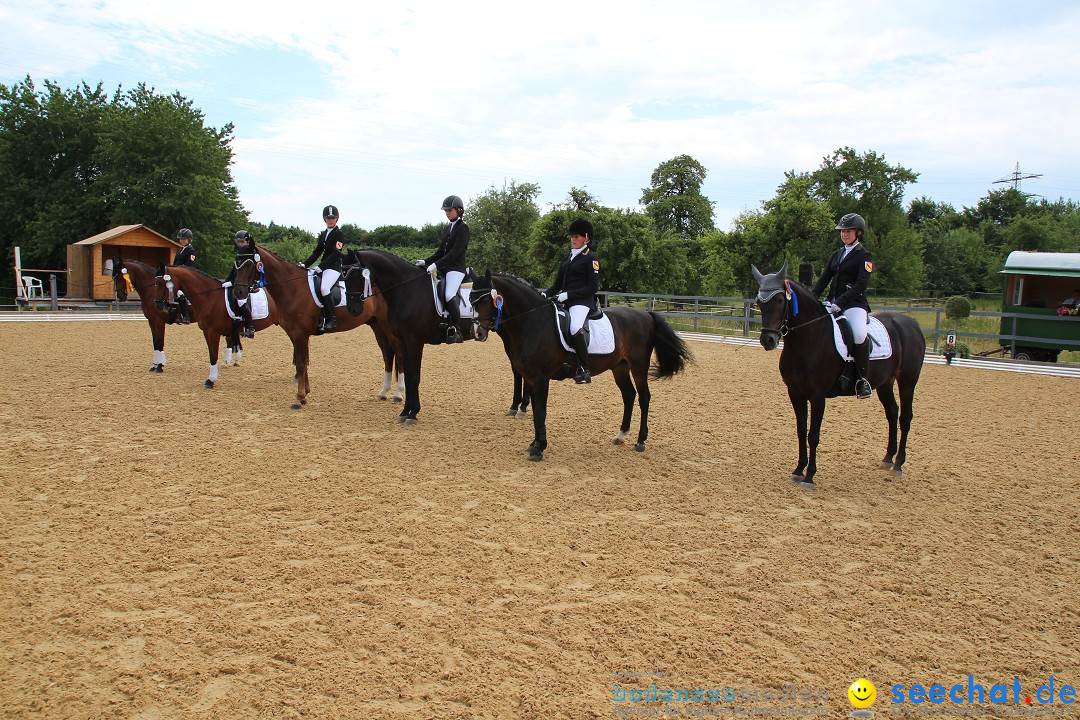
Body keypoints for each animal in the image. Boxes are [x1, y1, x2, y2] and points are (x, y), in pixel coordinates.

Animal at [236, 245, 401, 408]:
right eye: (236, 264)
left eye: (249, 264)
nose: (239, 292)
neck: (293, 288)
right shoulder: (295, 332)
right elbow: (302, 361)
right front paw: (305, 395)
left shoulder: (300, 333)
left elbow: (301, 363)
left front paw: (298, 398)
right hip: (377, 325)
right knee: (387, 354)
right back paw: (383, 393)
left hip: (389, 327)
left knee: (399, 354)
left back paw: (398, 393)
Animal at [343, 250, 492, 425]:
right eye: (343, 276)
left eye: (355, 276)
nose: (353, 310)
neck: (407, 289)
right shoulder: (403, 341)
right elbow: (407, 376)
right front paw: (405, 412)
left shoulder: (414, 341)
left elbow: (414, 377)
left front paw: (412, 413)